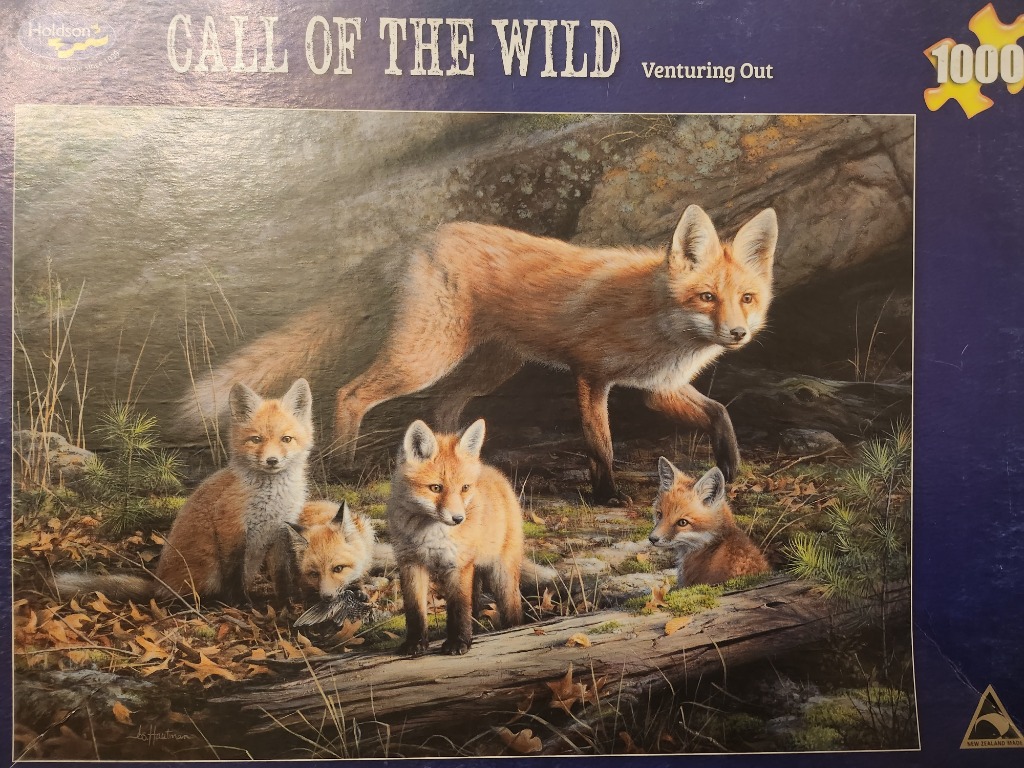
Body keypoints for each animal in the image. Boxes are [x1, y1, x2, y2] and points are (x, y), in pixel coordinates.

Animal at [55, 379, 314, 603]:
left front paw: (287, 601)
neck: (273, 497)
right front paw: (241, 603)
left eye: (286, 439)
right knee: (183, 596)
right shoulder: (231, 527)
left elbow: (282, 574)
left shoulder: (280, 531)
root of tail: (159, 583)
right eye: (256, 439)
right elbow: (233, 576)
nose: (272, 461)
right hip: (207, 569)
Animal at [388, 418, 525, 656]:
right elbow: (414, 611)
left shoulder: (457, 565)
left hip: (501, 576)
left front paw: (458, 642)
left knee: (512, 610)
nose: (458, 518)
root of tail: (494, 472)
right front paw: (415, 642)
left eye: (464, 488)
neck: (430, 535)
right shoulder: (410, 564)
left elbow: (458, 609)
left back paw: (511, 629)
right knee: (475, 604)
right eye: (435, 488)